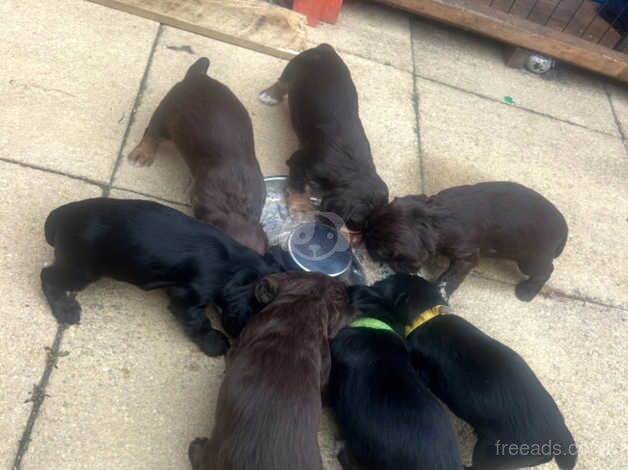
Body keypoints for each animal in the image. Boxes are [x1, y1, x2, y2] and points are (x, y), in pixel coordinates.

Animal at [41, 198, 280, 356]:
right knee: (46, 275)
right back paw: (65, 308)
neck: (233, 262)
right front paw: (214, 343)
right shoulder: (188, 295)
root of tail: (60, 215)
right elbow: (199, 322)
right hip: (81, 270)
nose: (239, 335)